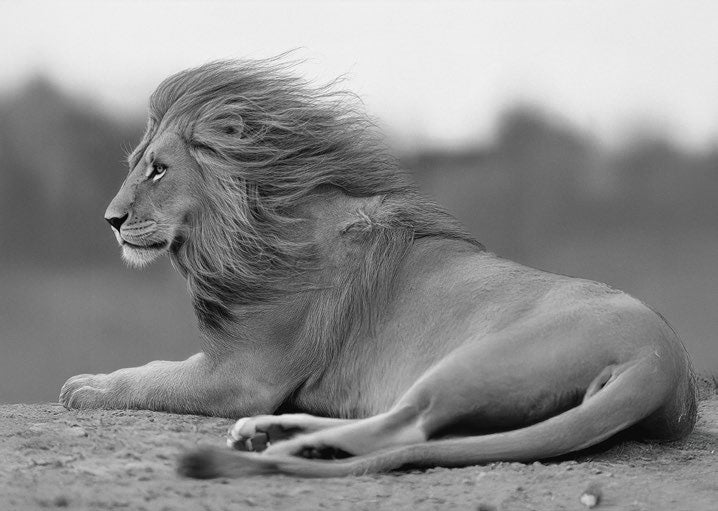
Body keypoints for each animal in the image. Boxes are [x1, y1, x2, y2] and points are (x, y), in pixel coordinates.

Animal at [60, 58, 697, 478]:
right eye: (135, 164)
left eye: (159, 169)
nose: (112, 220)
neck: (247, 230)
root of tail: (659, 360)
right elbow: (154, 369)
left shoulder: (241, 374)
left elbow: (152, 376)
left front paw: (84, 387)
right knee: (415, 423)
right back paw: (277, 434)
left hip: (476, 358)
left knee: (407, 425)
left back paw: (283, 446)